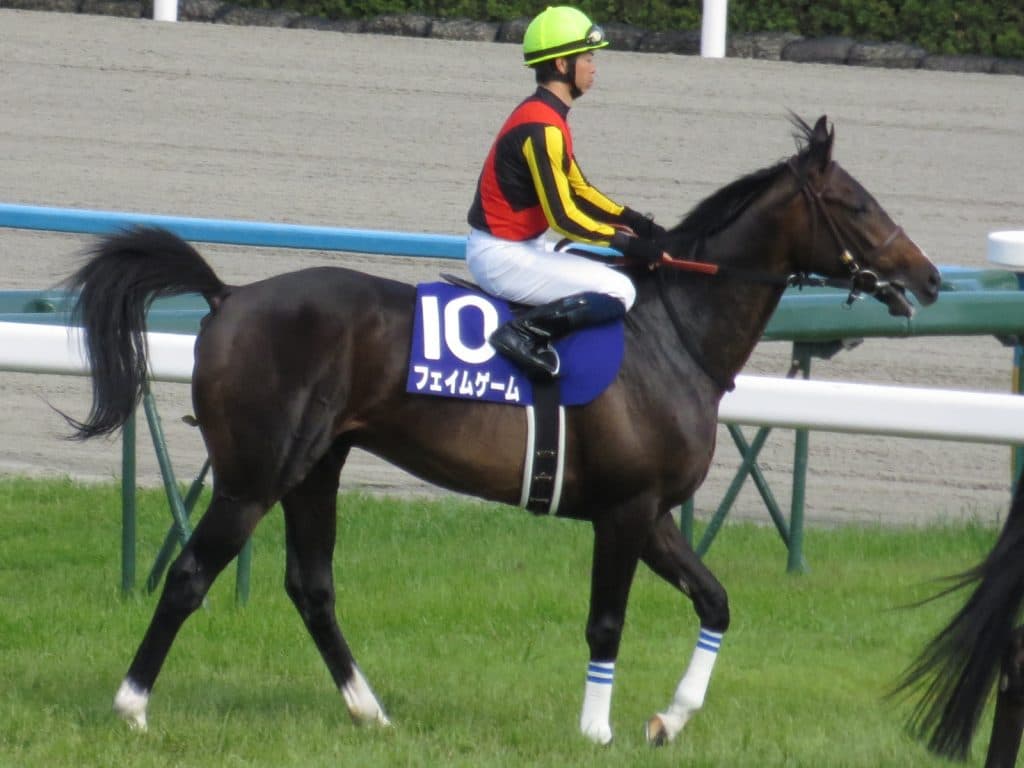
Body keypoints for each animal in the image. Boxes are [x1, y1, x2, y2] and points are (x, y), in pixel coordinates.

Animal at [65, 115, 940, 745]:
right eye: (858, 205)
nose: (928, 276)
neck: (674, 334)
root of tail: (229, 296)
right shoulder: (625, 510)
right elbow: (607, 620)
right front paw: (596, 730)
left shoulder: (654, 512)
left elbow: (717, 601)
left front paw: (670, 718)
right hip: (255, 476)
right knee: (190, 575)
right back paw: (132, 706)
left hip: (317, 467)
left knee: (311, 586)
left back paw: (370, 711)